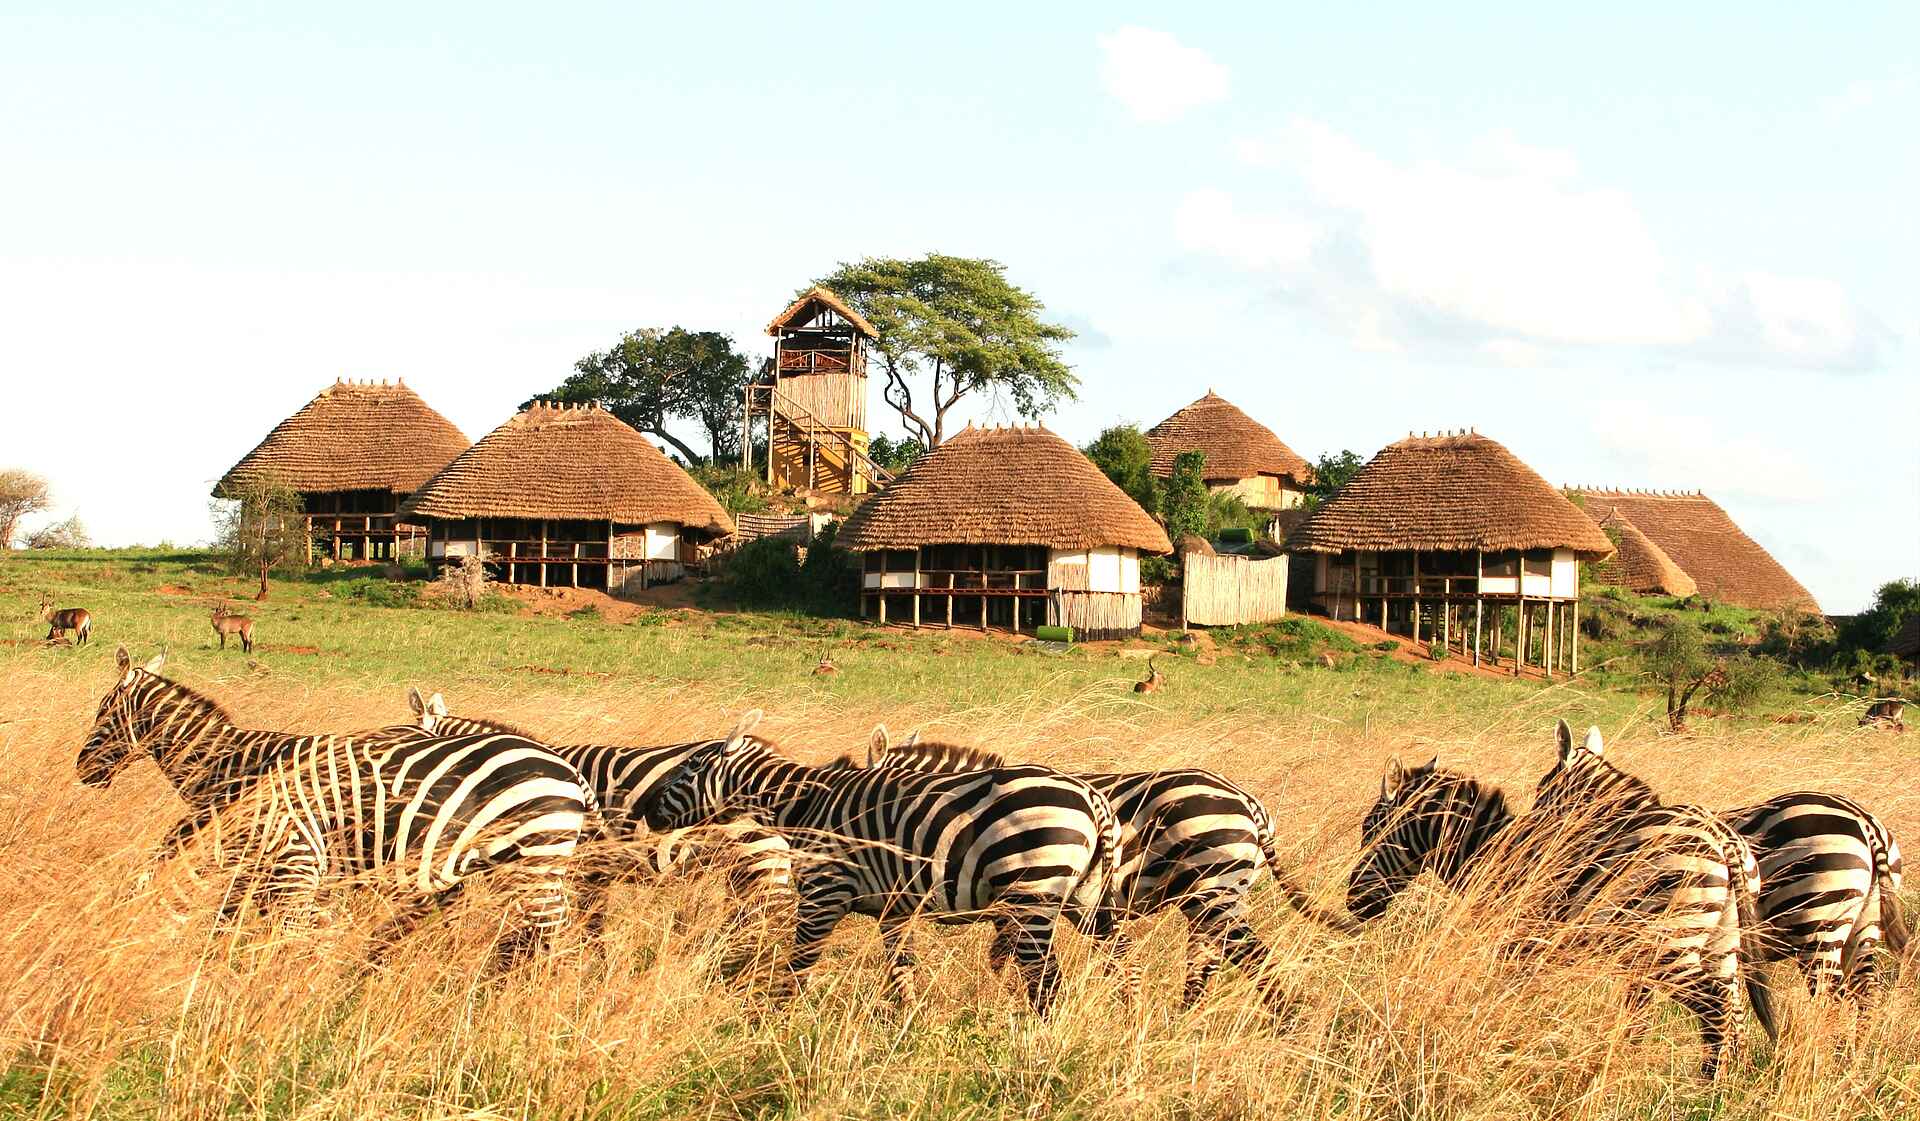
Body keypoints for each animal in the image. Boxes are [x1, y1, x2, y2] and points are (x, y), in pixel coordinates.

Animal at [80, 648, 594, 964]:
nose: (81, 771)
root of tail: (569, 771)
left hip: (533, 860)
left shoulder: (284, 853)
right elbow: (235, 921)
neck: (233, 765)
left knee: (547, 934)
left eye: (103, 711)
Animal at [643, 715, 1121, 1013]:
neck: (805, 804)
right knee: (1118, 956)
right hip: (1084, 899)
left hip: (1031, 896)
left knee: (1046, 980)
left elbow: (800, 965)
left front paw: (772, 1023)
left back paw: (1038, 1042)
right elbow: (901, 970)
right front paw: (907, 1023)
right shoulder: (895, 908)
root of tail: (1091, 797)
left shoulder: (823, 894)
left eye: (687, 771)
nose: (647, 812)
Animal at [865, 730, 1359, 1007]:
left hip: (1213, 889)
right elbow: (1003, 959)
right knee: (1207, 963)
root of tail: (1251, 804)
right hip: (1209, 897)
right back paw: (1183, 1024)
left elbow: (1005, 961)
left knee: (1252, 958)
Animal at [1347, 750, 1776, 1078]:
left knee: (1715, 1008)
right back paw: (1724, 1083)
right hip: (1721, 942)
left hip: (1668, 944)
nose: (1353, 901)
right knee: (1733, 1010)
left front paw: (1503, 1044)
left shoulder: (1515, 943)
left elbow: (1507, 998)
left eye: (1369, 829)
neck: (1490, 852)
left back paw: (1708, 1086)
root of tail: (1722, 838)